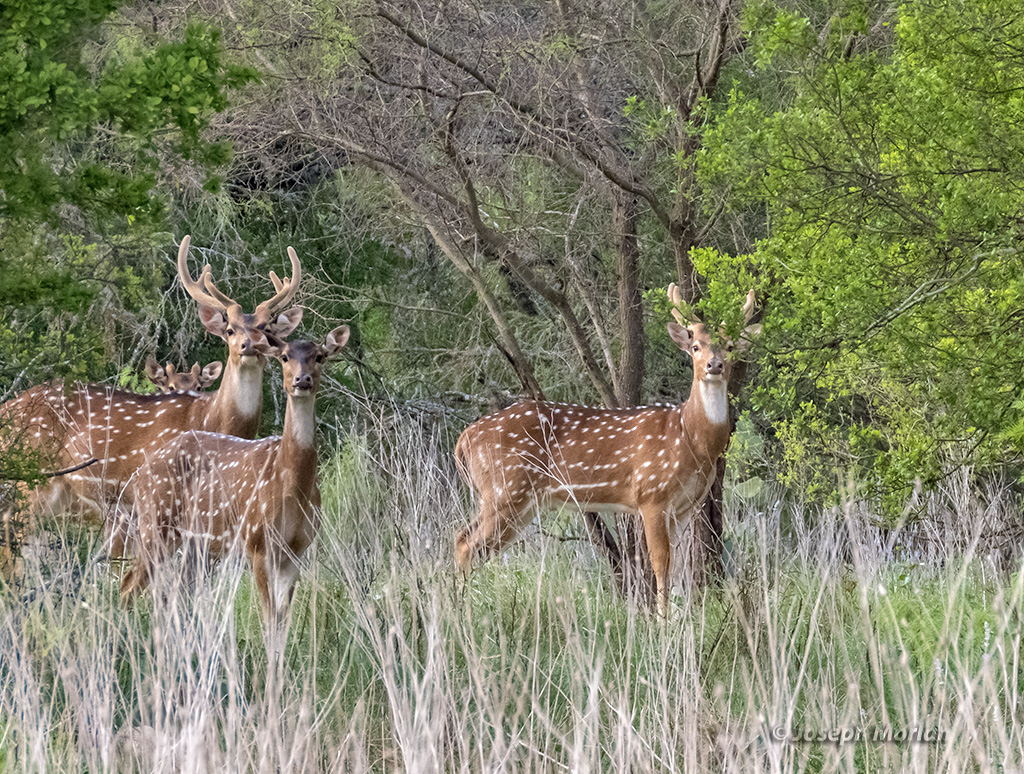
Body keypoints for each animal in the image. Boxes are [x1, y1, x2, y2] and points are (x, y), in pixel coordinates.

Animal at [120, 323, 348, 642]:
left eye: (319, 356)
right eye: (285, 357)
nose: (302, 380)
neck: (293, 485)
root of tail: (140, 473)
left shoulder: (296, 550)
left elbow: (282, 623)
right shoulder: (257, 542)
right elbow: (269, 621)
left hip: (194, 541)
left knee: (171, 592)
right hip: (156, 523)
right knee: (128, 585)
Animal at [456, 284, 761, 610]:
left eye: (730, 346)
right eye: (695, 346)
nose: (714, 365)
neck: (689, 437)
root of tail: (464, 439)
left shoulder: (685, 506)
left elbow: (680, 568)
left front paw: (682, 617)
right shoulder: (651, 495)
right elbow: (660, 563)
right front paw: (661, 619)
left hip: (518, 501)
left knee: (465, 540)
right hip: (504, 489)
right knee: (466, 544)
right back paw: (462, 608)